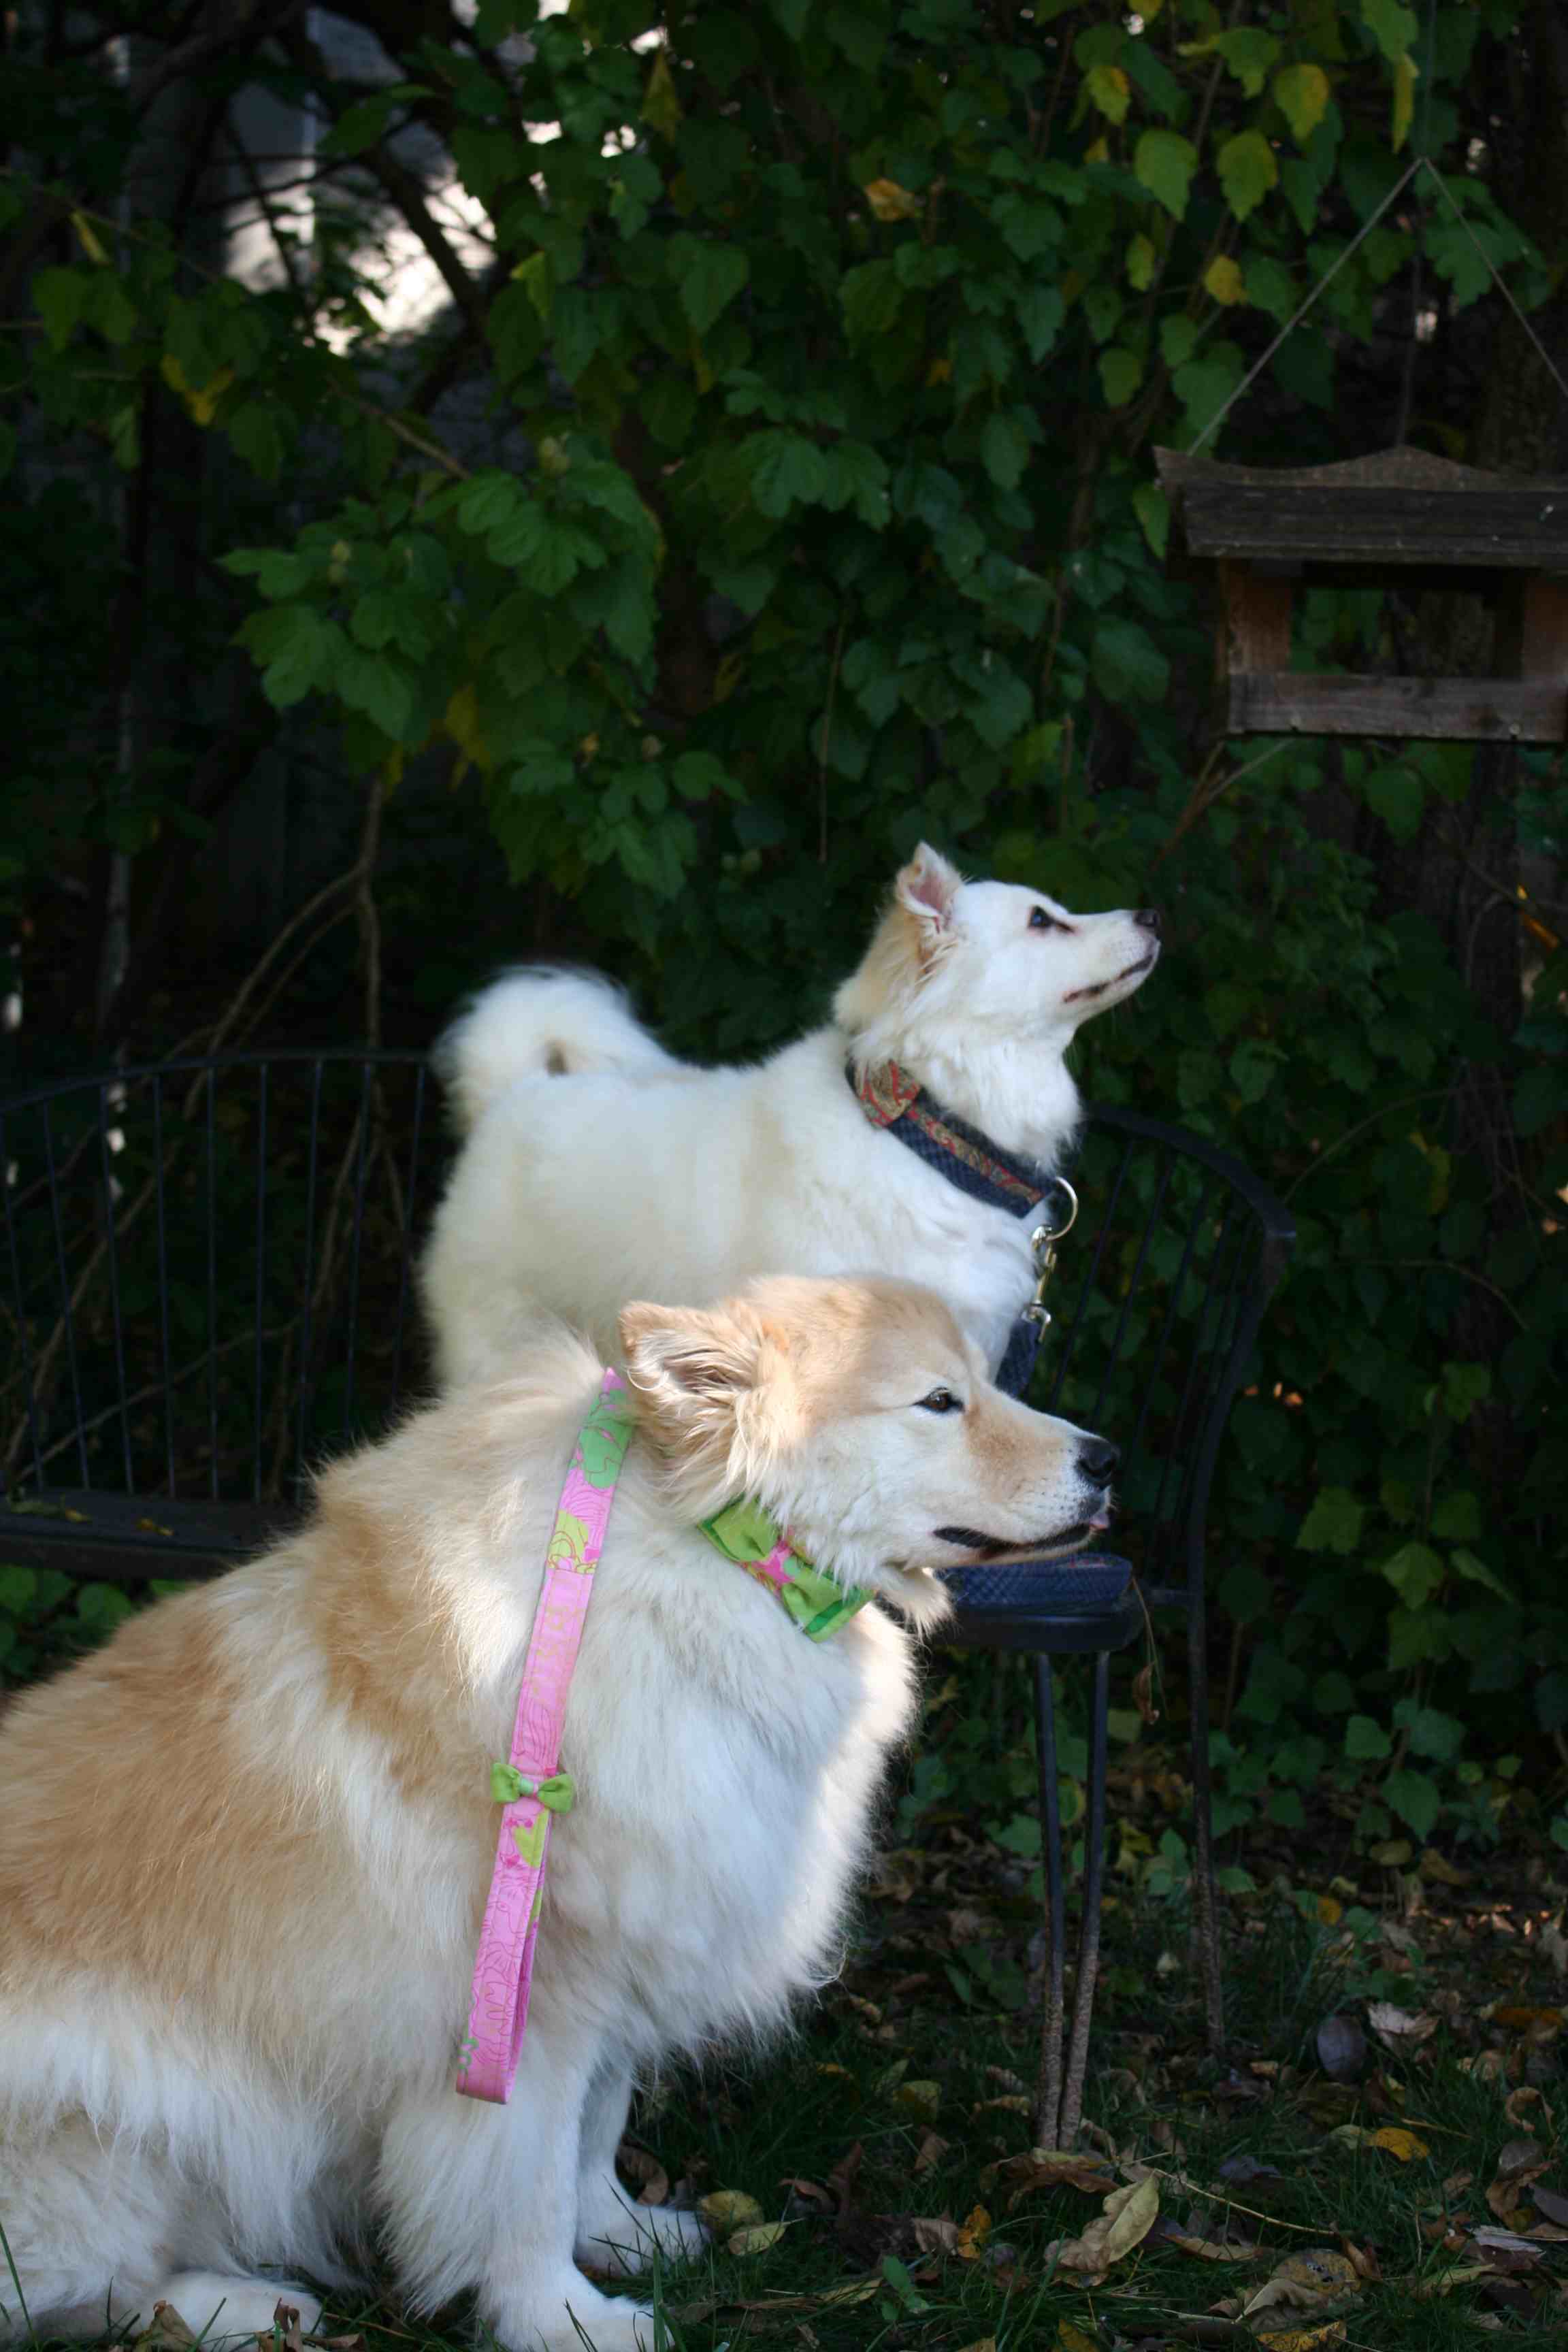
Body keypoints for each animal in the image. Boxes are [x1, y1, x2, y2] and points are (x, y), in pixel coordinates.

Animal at [0, 1275, 1118, 2352]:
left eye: (987, 1381)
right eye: (939, 1402)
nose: (1106, 1458)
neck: (714, 1557)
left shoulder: (621, 1962)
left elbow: (594, 2134)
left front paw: (622, 2234)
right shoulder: (524, 2013)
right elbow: (526, 2190)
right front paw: (562, 2318)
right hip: (122, 2107)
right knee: (75, 2295)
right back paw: (239, 2307)